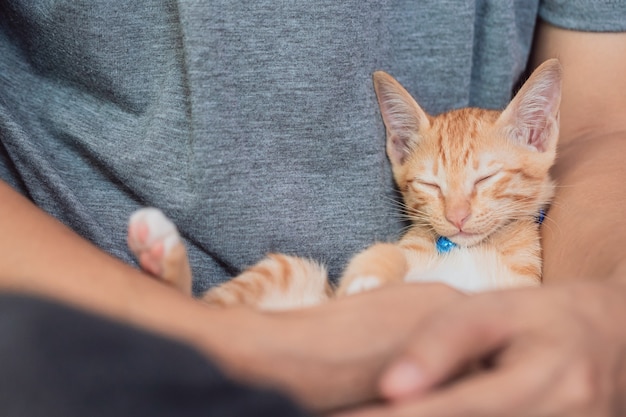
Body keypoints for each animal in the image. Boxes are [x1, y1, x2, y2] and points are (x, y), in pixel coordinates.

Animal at [127, 57, 560, 306]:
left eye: (486, 177)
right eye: (430, 184)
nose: (456, 218)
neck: (465, 248)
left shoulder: (522, 287)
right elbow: (385, 253)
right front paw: (369, 277)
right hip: (293, 270)